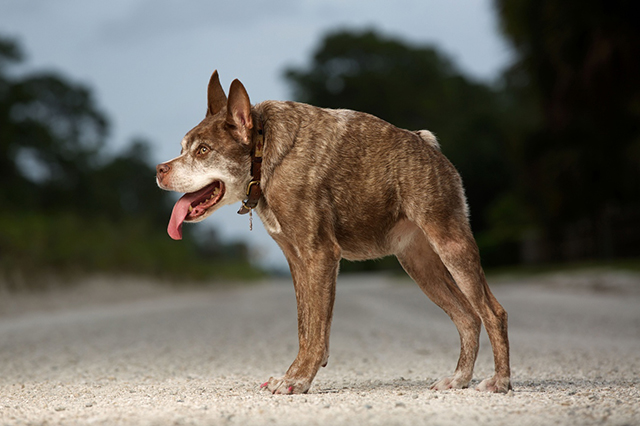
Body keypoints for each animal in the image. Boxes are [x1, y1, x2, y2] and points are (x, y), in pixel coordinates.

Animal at [158, 70, 512, 392]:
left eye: (203, 151)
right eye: (183, 147)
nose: (159, 170)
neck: (263, 149)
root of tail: (428, 146)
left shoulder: (321, 255)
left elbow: (316, 328)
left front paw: (298, 380)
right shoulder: (297, 260)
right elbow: (307, 326)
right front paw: (295, 375)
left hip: (451, 246)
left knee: (493, 313)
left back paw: (500, 381)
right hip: (420, 264)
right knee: (468, 317)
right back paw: (459, 379)